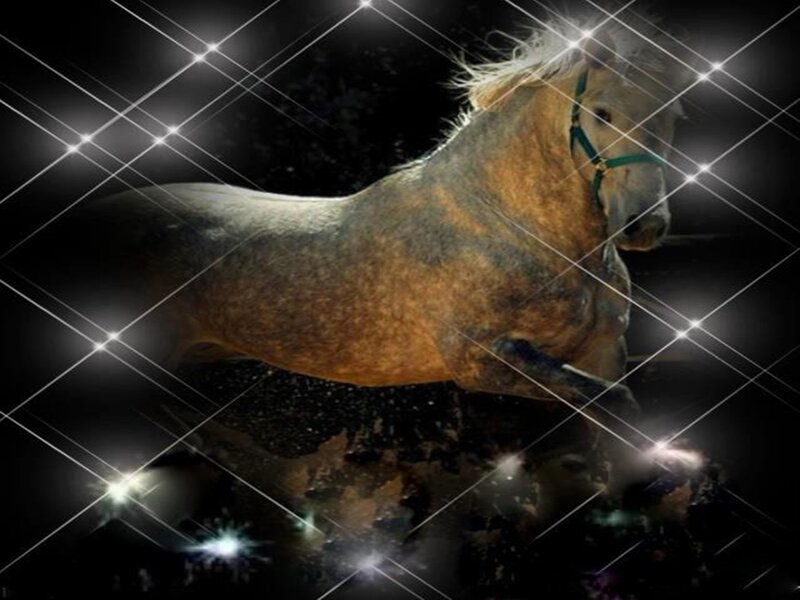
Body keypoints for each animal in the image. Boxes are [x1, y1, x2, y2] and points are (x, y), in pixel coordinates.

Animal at [27, 21, 693, 432]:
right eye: (602, 113)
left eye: (676, 114)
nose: (644, 227)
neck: (513, 231)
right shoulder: (483, 363)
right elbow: (616, 407)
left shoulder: (602, 352)